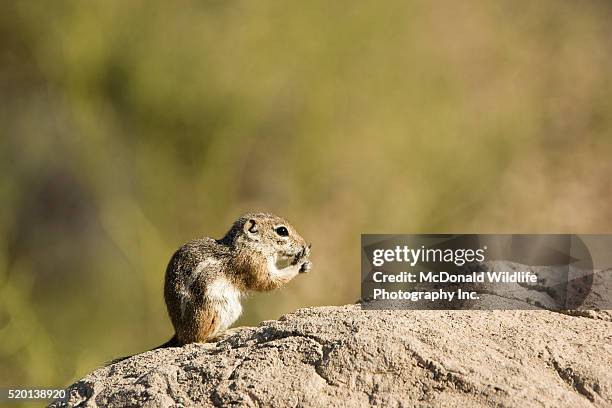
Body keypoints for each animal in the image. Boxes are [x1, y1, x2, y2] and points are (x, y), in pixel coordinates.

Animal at [160, 212, 310, 346]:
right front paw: (299, 264)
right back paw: (226, 333)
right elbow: (268, 282)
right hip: (214, 309)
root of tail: (179, 333)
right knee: (195, 339)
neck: (248, 245)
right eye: (282, 231)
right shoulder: (253, 265)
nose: (303, 244)